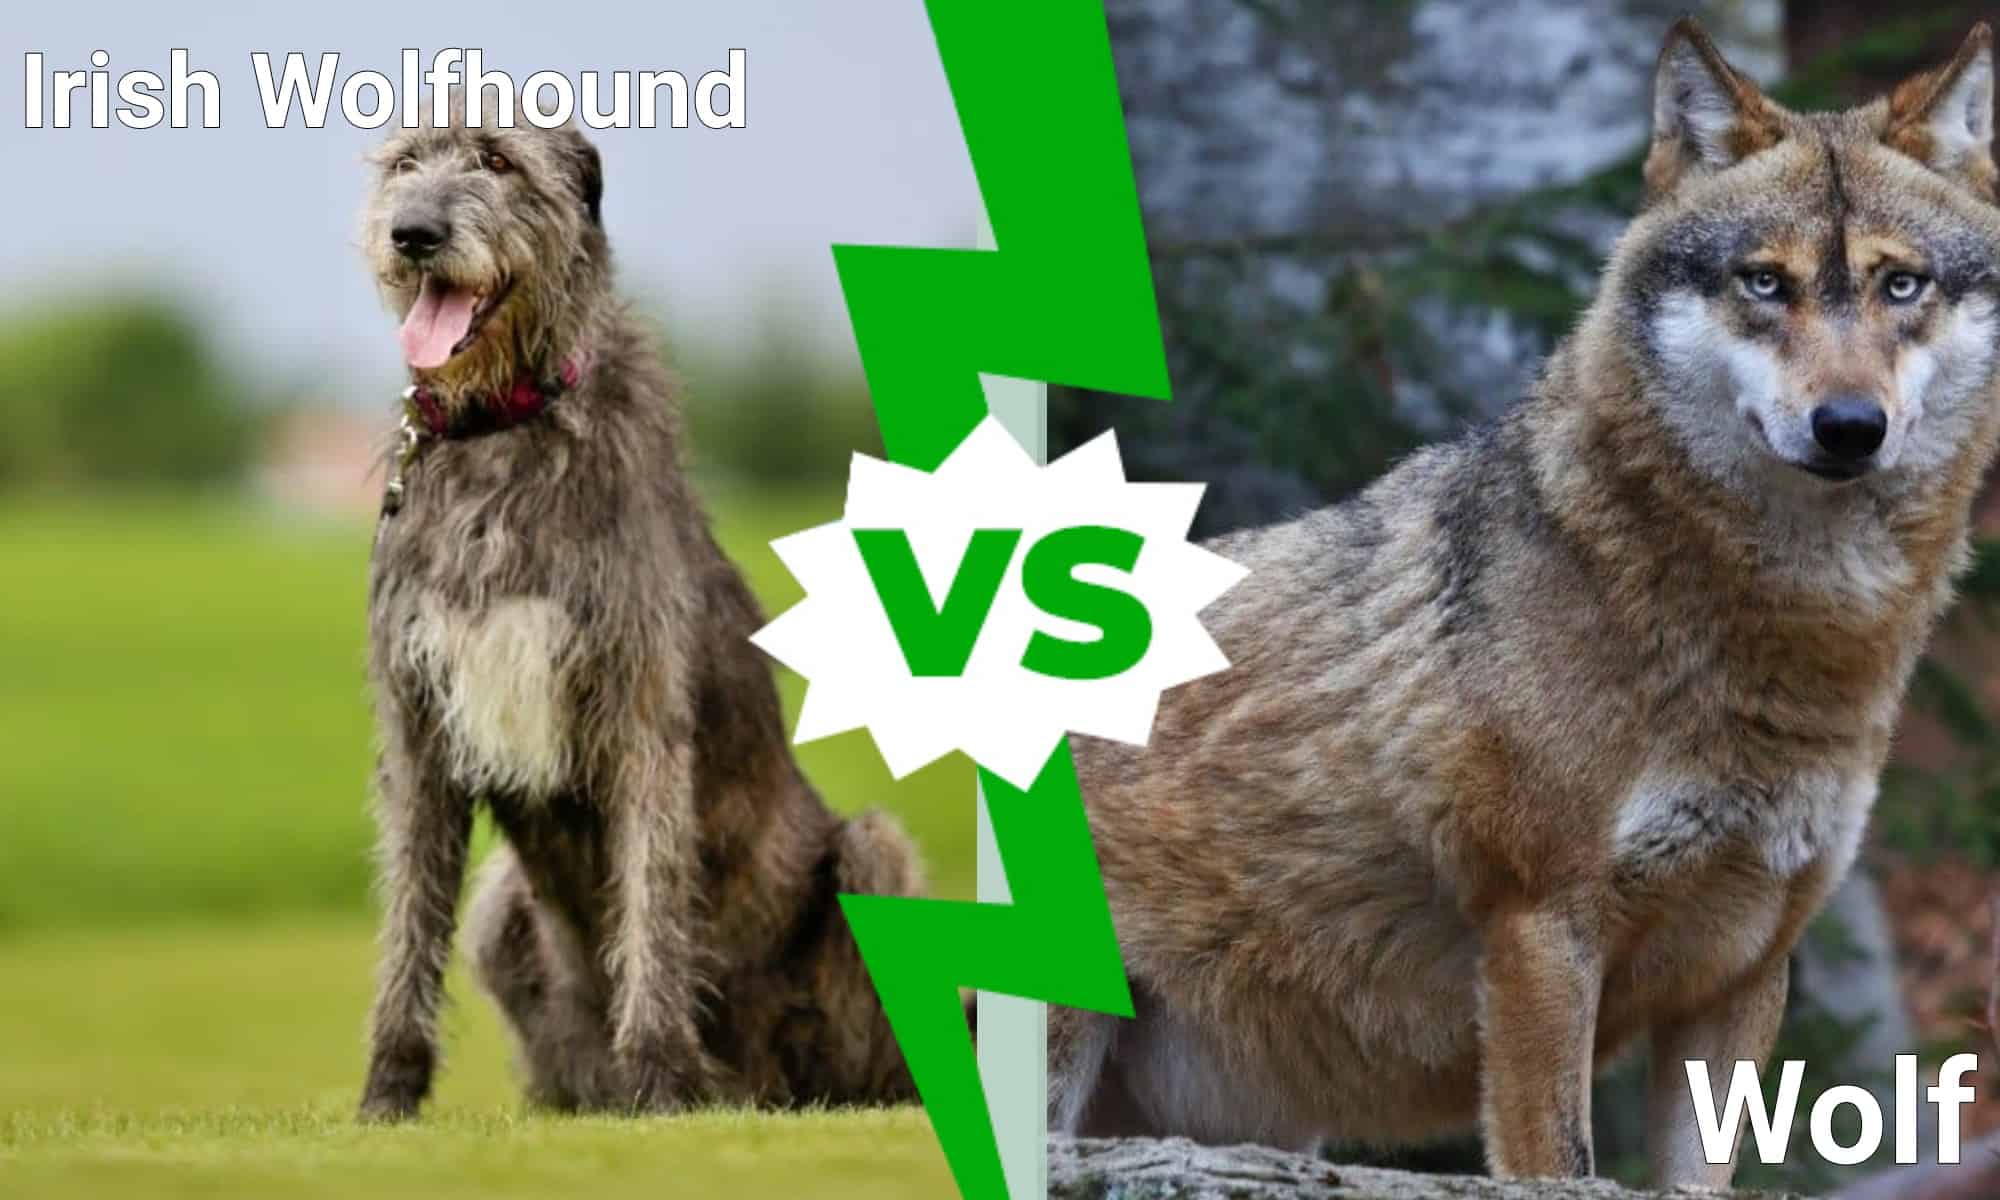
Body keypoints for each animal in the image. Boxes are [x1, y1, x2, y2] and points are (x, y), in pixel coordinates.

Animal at [354, 99, 923, 1120]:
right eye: (405, 163)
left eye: (498, 161)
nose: (411, 233)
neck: (502, 427)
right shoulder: (418, 723)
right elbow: (410, 918)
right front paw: (387, 1095)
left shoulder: (638, 705)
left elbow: (652, 897)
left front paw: (661, 1077)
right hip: (503, 910)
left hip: (871, 857)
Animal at [1050, 20, 2000, 1187]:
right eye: (1764, 284)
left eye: (1900, 286)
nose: (1849, 426)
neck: (1787, 639)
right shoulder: (1541, 930)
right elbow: (1559, 1155)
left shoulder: (1743, 970)